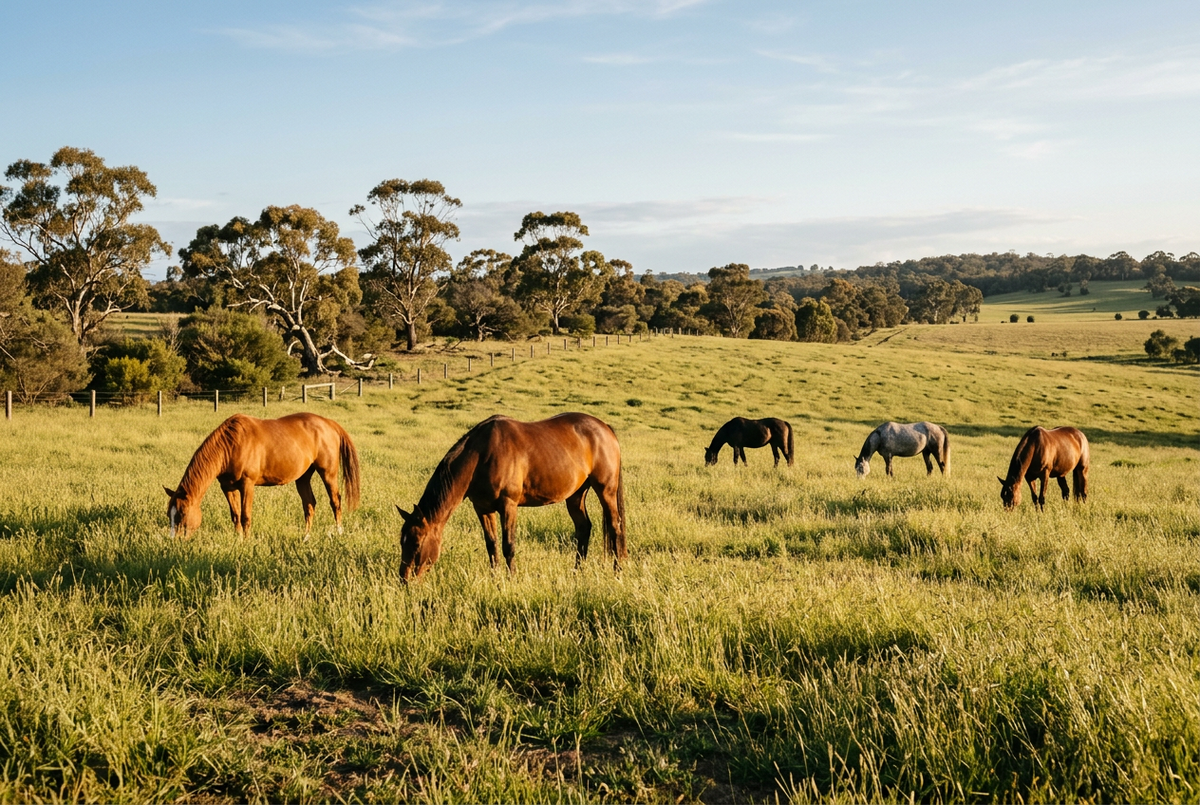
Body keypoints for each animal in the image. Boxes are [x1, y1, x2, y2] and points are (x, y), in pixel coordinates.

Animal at [164, 412, 360, 538]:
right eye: (168, 514)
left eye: (182, 513)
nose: (175, 540)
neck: (231, 445)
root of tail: (328, 423)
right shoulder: (227, 487)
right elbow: (235, 515)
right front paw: (238, 540)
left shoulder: (247, 485)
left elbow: (245, 516)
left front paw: (247, 542)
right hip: (303, 477)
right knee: (309, 504)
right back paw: (306, 537)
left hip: (328, 473)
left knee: (335, 502)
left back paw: (339, 533)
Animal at [396, 412, 627, 580]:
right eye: (402, 542)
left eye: (416, 544)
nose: (404, 580)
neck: (481, 455)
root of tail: (604, 427)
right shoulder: (482, 508)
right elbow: (492, 545)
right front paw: (495, 578)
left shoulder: (509, 505)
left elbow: (509, 546)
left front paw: (512, 579)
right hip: (576, 494)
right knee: (583, 528)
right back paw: (577, 572)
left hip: (606, 489)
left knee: (615, 525)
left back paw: (618, 570)